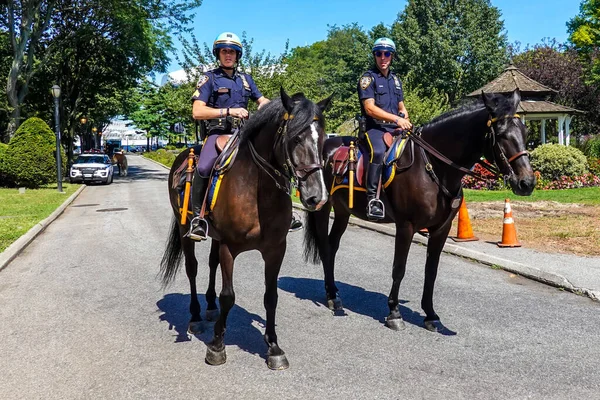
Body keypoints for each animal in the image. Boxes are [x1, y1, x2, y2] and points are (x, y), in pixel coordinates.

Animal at [159, 87, 330, 368]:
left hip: (215, 236)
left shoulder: (275, 250)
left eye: (324, 139)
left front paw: (273, 347)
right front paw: (217, 345)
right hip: (185, 228)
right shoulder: (230, 247)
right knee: (192, 268)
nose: (318, 197)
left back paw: (210, 306)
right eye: (295, 138)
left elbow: (271, 297)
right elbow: (228, 296)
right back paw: (195, 317)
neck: (257, 190)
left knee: (211, 264)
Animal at [304, 90, 536, 332]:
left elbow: (431, 271)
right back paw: (332, 297)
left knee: (332, 246)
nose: (527, 183)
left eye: (525, 131)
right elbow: (399, 268)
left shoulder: (441, 229)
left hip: (342, 211)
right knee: (325, 247)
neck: (434, 167)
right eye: (501, 134)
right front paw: (394, 313)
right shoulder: (405, 226)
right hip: (322, 208)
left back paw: (333, 292)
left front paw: (430, 314)